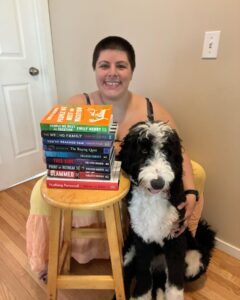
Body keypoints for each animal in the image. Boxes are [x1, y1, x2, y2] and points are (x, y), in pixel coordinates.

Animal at [118, 120, 216, 298]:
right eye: (143, 151)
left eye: (167, 152)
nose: (158, 183)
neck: (153, 199)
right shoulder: (142, 240)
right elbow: (143, 276)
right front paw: (141, 296)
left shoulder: (175, 239)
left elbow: (175, 282)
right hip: (128, 252)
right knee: (128, 276)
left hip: (195, 260)